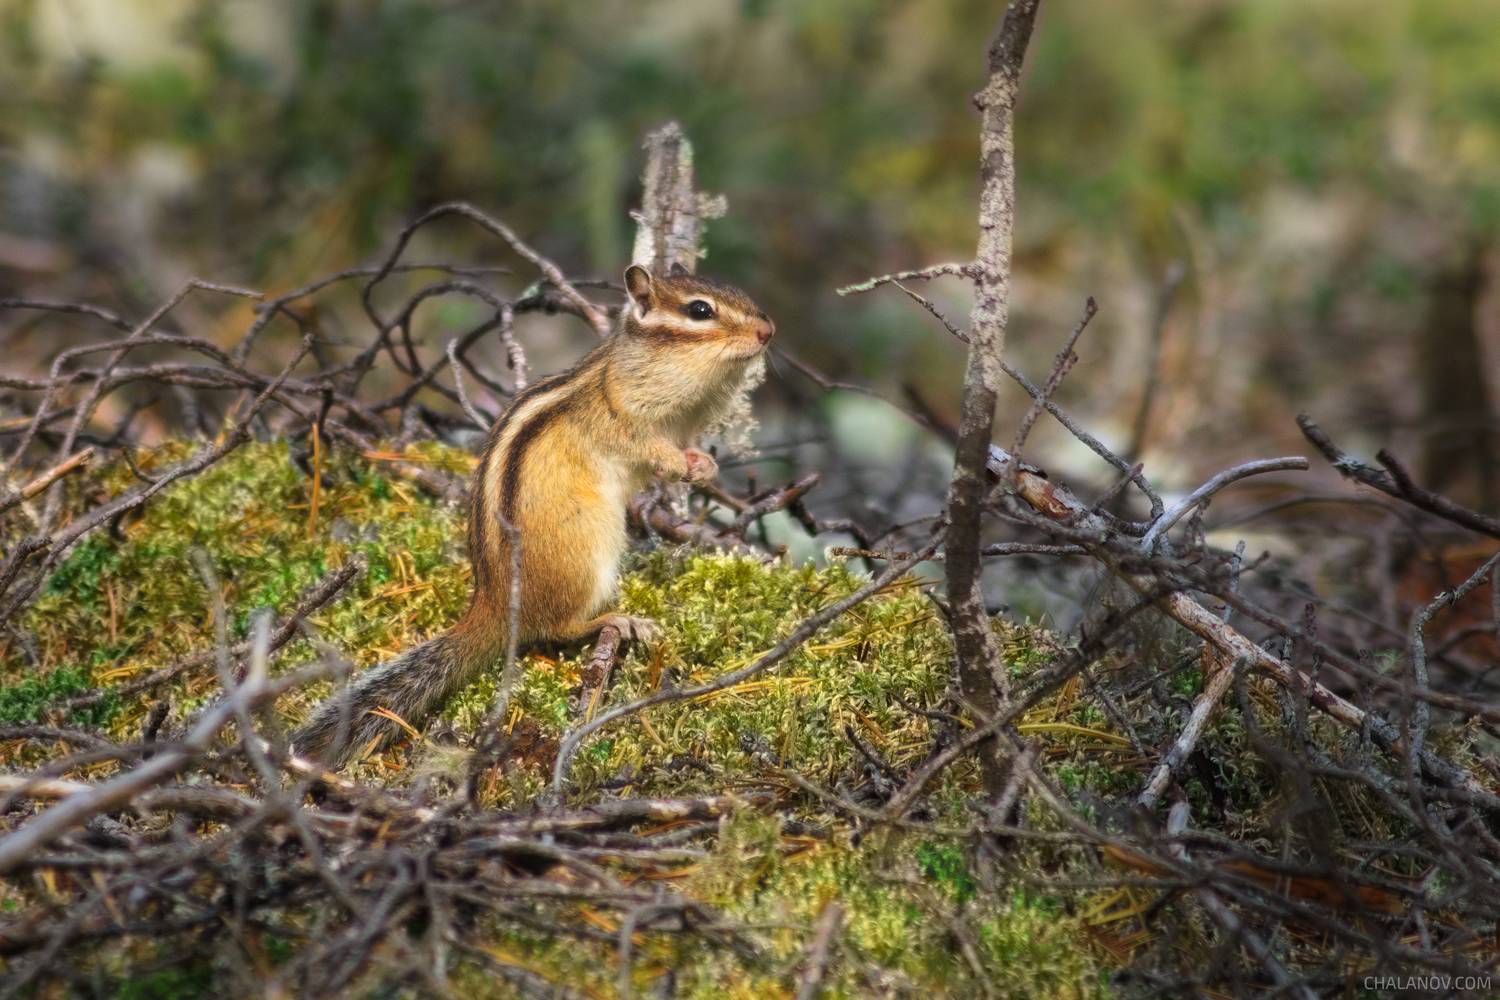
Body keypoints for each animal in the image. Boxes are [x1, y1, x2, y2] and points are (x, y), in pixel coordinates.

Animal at [293, 264, 774, 767]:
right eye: (700, 310)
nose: (768, 331)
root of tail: (493, 603)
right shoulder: (622, 417)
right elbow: (645, 447)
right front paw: (681, 463)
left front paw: (703, 466)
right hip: (588, 550)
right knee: (556, 628)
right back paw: (616, 620)